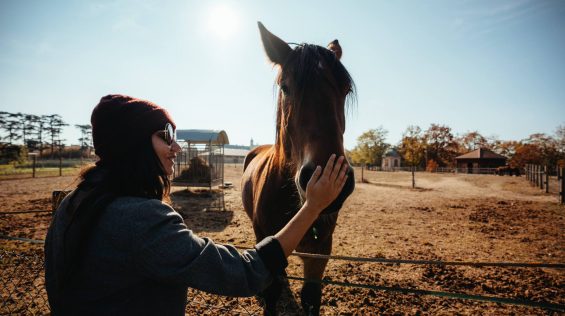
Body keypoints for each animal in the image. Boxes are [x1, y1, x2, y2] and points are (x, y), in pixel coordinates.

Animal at [240, 22, 354, 316]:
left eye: (346, 89)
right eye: (286, 87)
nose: (327, 178)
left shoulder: (320, 252)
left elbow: (311, 296)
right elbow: (272, 291)